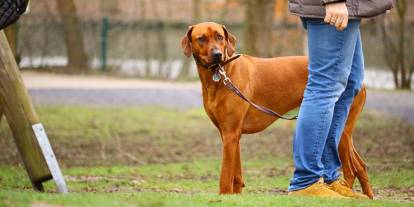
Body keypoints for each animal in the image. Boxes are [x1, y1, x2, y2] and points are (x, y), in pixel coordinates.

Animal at [180, 21, 374, 198]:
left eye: (220, 36)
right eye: (201, 38)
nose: (217, 54)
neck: (222, 73)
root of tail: (359, 79)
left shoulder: (230, 133)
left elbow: (225, 174)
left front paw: (224, 196)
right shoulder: (230, 134)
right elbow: (236, 172)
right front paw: (236, 196)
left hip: (338, 129)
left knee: (350, 170)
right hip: (345, 131)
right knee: (360, 166)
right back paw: (367, 196)